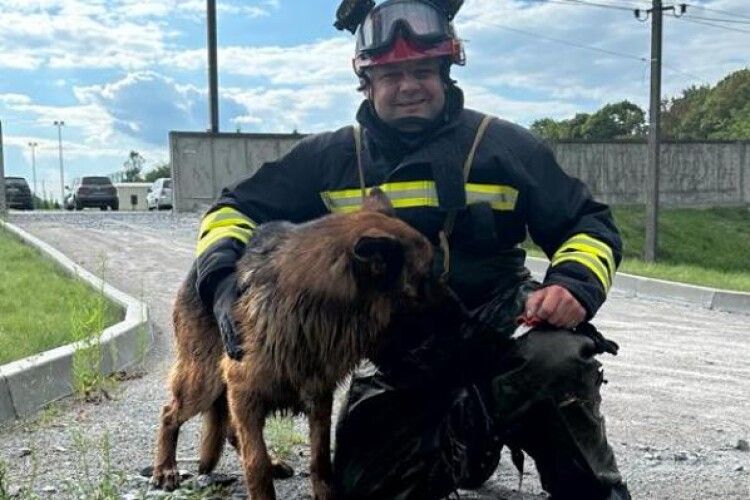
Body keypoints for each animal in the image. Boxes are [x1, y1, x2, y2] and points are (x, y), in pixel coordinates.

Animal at [151, 189, 434, 498]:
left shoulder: (318, 394)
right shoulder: (244, 389)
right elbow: (256, 463)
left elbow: (319, 458)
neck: (314, 306)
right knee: (170, 414)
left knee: (231, 430)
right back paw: (165, 468)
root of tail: (198, 272)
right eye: (427, 278)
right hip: (204, 382)